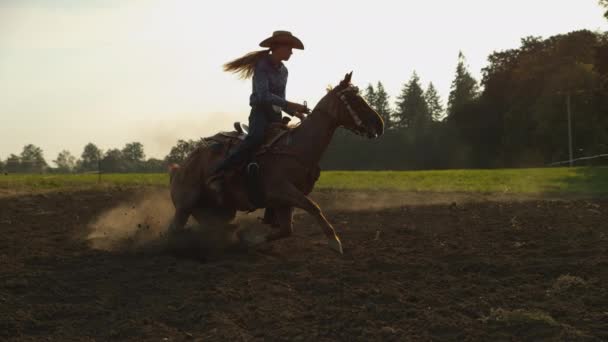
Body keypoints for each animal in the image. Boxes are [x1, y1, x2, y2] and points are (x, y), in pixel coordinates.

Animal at [166, 73, 384, 254]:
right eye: (355, 100)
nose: (379, 124)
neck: (296, 148)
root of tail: (180, 168)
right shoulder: (281, 190)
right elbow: (313, 207)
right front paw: (334, 242)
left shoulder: (281, 202)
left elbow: (286, 230)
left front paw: (249, 239)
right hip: (186, 205)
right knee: (174, 229)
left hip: (219, 211)